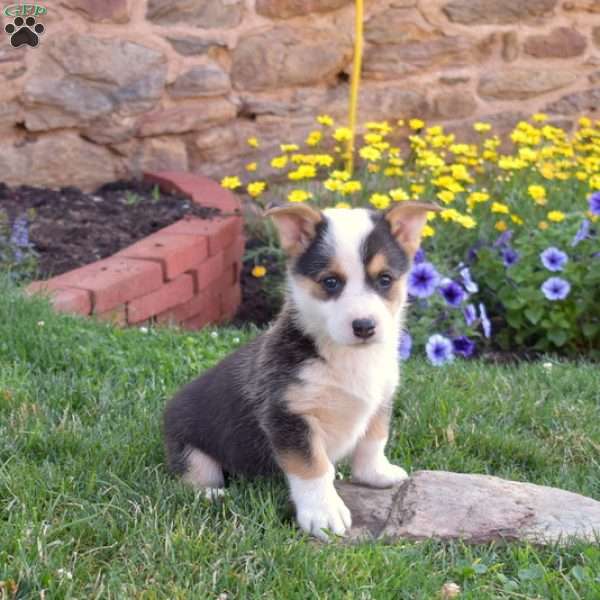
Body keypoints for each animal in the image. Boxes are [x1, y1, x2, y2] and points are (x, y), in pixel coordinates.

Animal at [163, 202, 436, 540]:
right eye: (330, 282)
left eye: (385, 279)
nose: (364, 326)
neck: (347, 356)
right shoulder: (289, 415)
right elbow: (313, 468)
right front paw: (324, 514)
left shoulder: (380, 402)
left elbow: (373, 442)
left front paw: (377, 474)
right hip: (190, 449)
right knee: (188, 481)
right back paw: (211, 494)